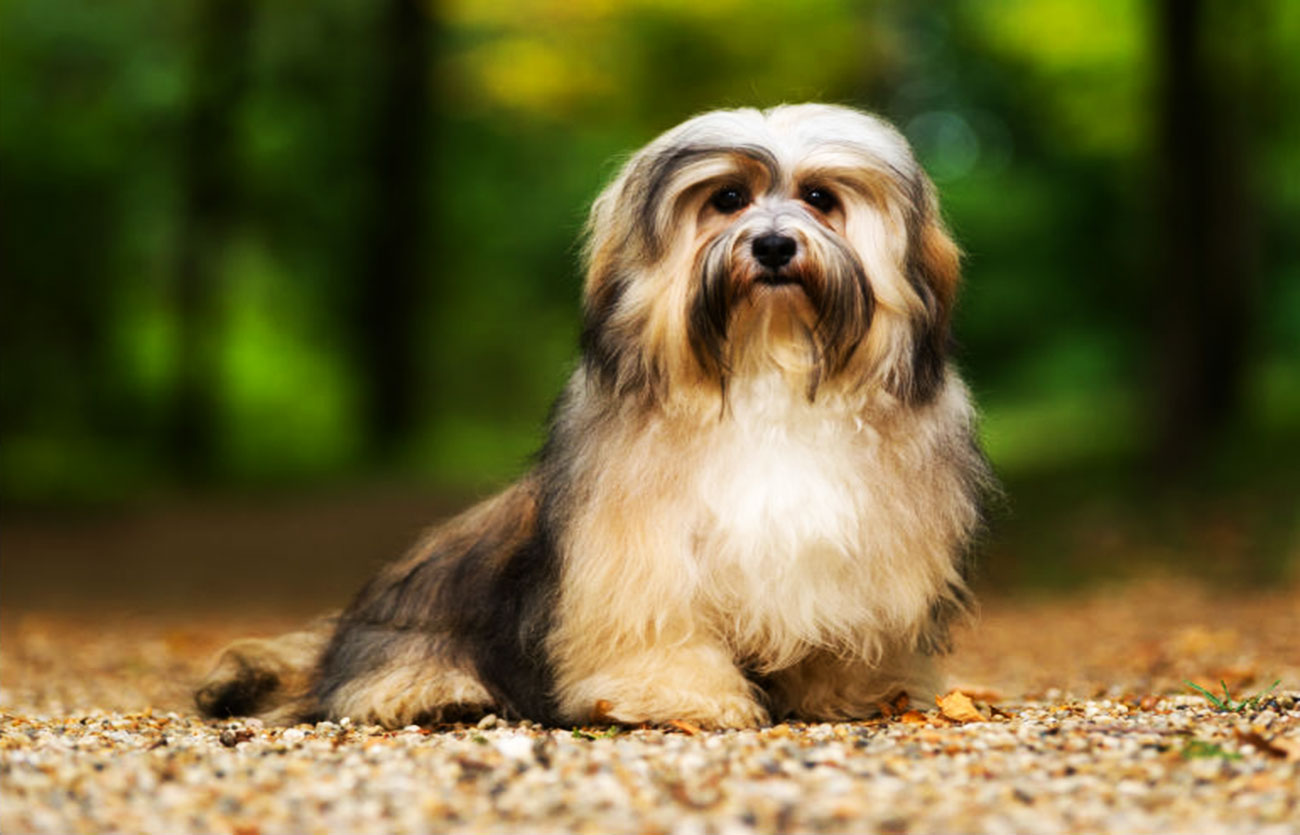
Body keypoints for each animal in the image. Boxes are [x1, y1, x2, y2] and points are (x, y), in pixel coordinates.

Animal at [192, 102, 987, 728]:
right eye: (728, 197)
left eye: (821, 197)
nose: (771, 245)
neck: (769, 367)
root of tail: (336, 638)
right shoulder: (637, 553)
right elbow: (657, 628)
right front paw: (680, 698)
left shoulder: (856, 555)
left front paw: (854, 691)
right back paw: (435, 693)